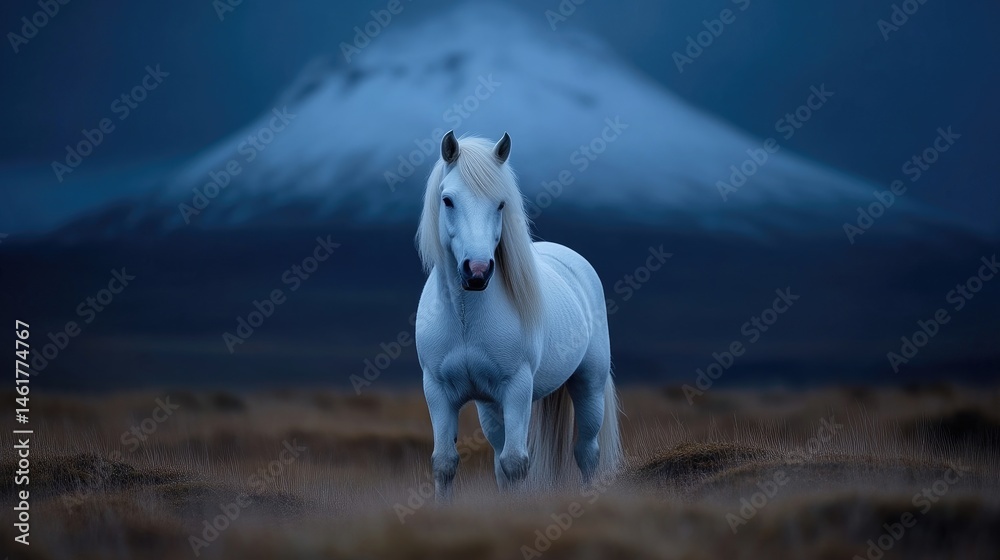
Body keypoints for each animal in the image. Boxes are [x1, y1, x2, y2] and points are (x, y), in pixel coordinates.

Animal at [414, 130, 623, 501]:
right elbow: (446, 463)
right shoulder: (438, 391)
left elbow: (515, 463)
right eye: (448, 200)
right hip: (491, 408)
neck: (466, 317)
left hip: (589, 386)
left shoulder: (516, 389)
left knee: (587, 452)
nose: (477, 272)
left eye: (500, 204)